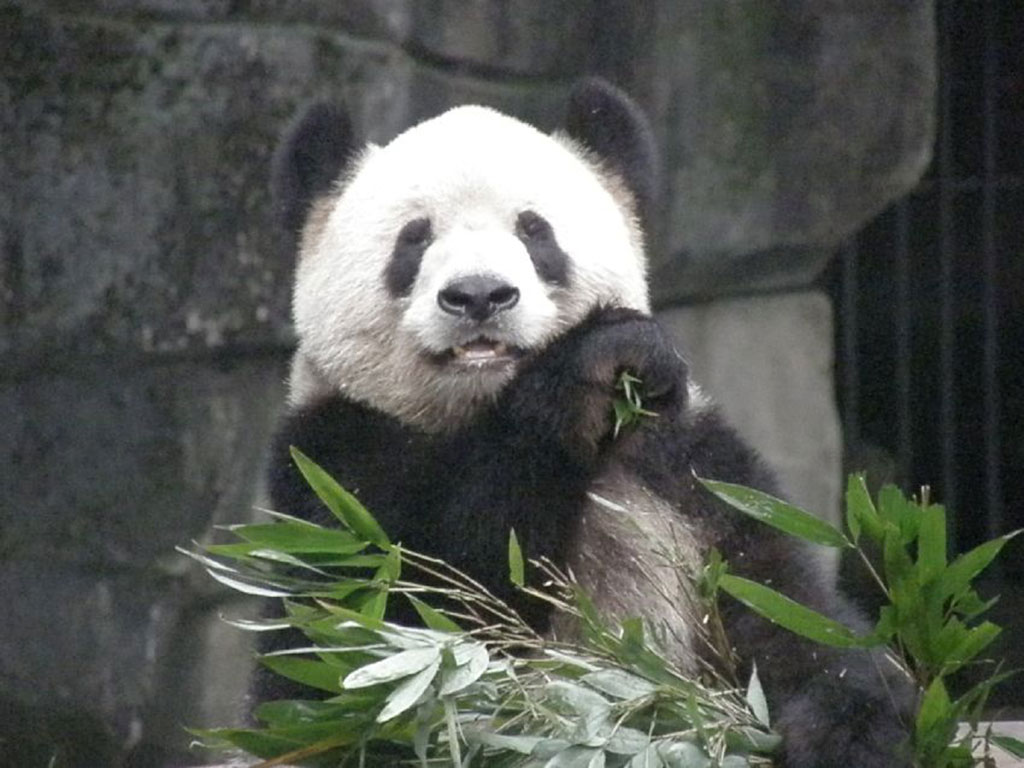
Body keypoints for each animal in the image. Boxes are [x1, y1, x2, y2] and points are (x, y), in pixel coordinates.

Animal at [259, 79, 913, 767]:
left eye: (535, 232)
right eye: (414, 240)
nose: (479, 295)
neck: (480, 409)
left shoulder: (686, 466)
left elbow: (784, 607)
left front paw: (853, 732)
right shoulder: (336, 463)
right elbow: (431, 617)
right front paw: (583, 375)